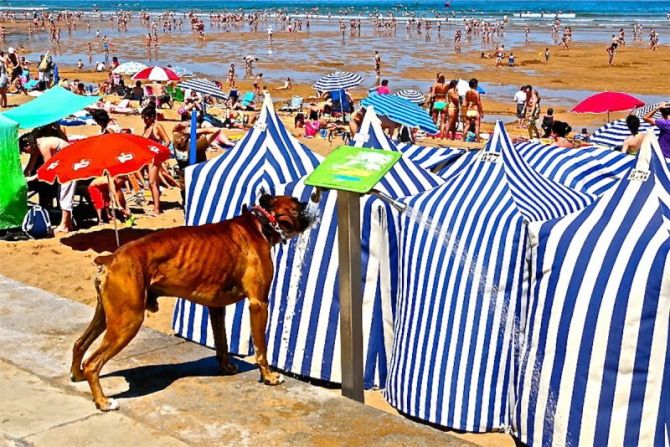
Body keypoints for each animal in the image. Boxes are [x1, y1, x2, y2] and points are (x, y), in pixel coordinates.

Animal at [69, 194, 316, 412]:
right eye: (296, 204)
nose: (309, 202)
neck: (259, 224)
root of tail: (111, 257)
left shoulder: (216, 308)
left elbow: (222, 342)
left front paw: (226, 367)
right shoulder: (259, 303)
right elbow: (261, 347)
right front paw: (268, 377)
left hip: (106, 317)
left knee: (80, 343)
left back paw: (77, 374)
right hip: (127, 322)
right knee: (93, 362)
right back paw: (103, 402)